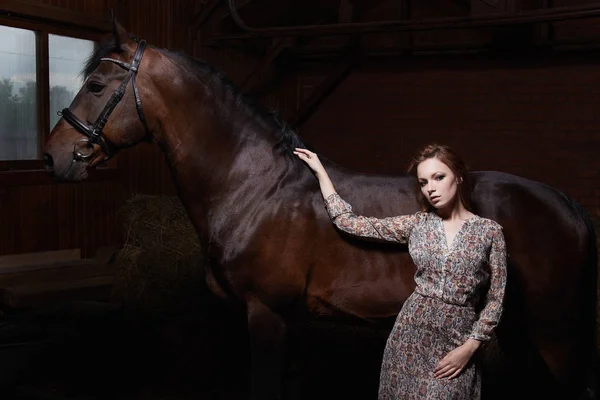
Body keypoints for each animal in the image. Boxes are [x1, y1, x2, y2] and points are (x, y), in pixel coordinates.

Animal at [41, 21, 596, 400]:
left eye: (96, 86)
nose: (52, 156)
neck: (253, 188)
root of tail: (566, 204)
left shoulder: (267, 314)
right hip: (518, 325)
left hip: (554, 330)